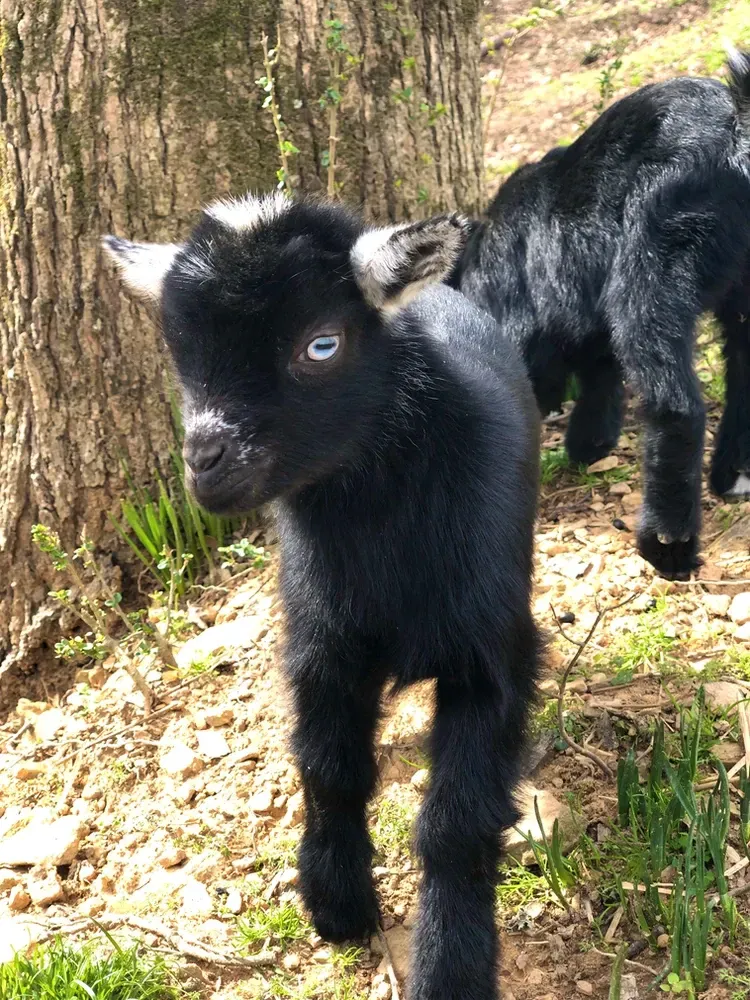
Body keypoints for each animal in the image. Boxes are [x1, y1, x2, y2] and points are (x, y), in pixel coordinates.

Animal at [104, 196, 541, 1000]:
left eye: (322, 344)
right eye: (181, 355)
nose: (206, 465)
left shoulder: (489, 655)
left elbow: (454, 824)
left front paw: (452, 965)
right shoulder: (323, 644)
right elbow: (328, 770)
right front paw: (336, 902)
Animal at [453, 48, 750, 580]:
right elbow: (599, 367)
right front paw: (590, 444)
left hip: (660, 236)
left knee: (669, 389)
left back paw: (666, 544)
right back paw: (733, 476)